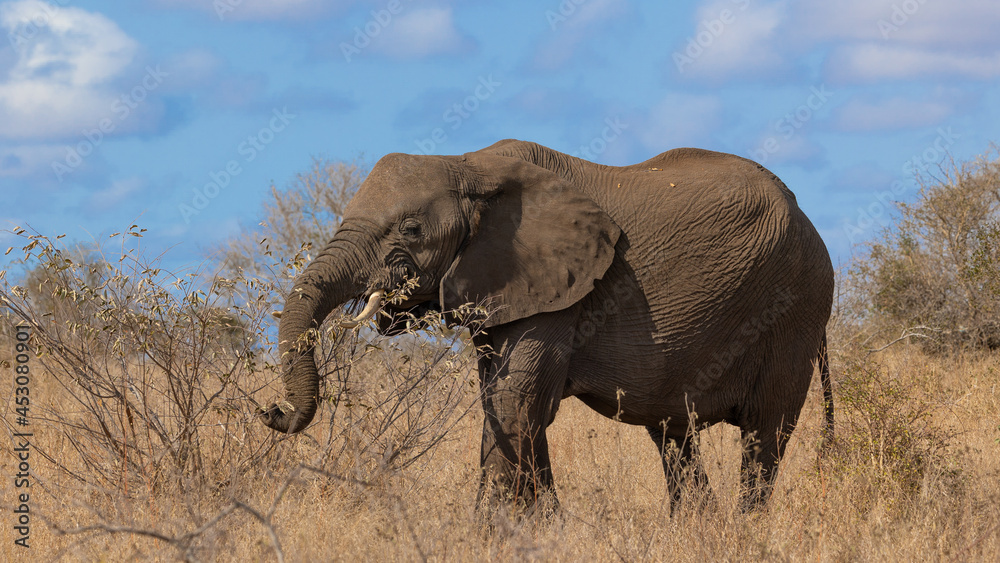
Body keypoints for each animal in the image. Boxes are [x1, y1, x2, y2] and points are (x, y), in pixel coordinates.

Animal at [261, 139, 835, 512]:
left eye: (411, 229)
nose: (272, 411)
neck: (470, 164)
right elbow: (507, 401)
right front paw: (542, 527)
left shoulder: (560, 291)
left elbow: (516, 400)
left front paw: (495, 533)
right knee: (674, 435)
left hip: (795, 304)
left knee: (765, 432)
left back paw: (744, 528)